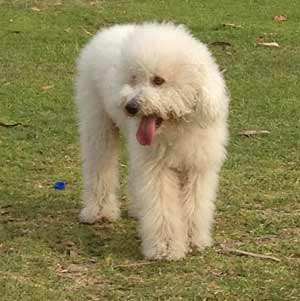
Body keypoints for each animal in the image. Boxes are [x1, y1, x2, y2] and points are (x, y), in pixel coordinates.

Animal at [75, 22, 230, 258]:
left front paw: (193, 239)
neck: (177, 128)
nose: (131, 107)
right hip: (98, 124)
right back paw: (99, 211)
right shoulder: (158, 169)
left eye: (158, 80)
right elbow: (162, 208)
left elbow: (195, 206)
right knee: (99, 166)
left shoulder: (197, 167)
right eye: (133, 78)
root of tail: (110, 30)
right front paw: (165, 248)